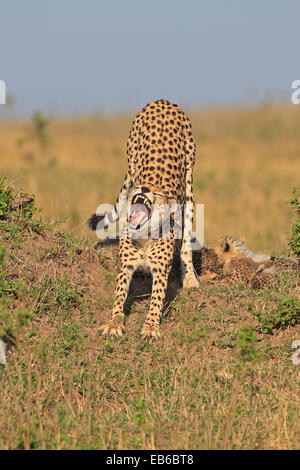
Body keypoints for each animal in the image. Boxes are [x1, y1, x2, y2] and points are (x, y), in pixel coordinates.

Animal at [86, 100, 199, 342]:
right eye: (142, 187)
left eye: (156, 192)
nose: (144, 188)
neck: (145, 235)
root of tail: (163, 101)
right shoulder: (126, 267)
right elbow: (119, 297)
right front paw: (114, 323)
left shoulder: (160, 270)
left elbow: (156, 301)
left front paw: (150, 327)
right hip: (131, 160)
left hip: (189, 182)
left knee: (186, 238)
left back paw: (190, 277)